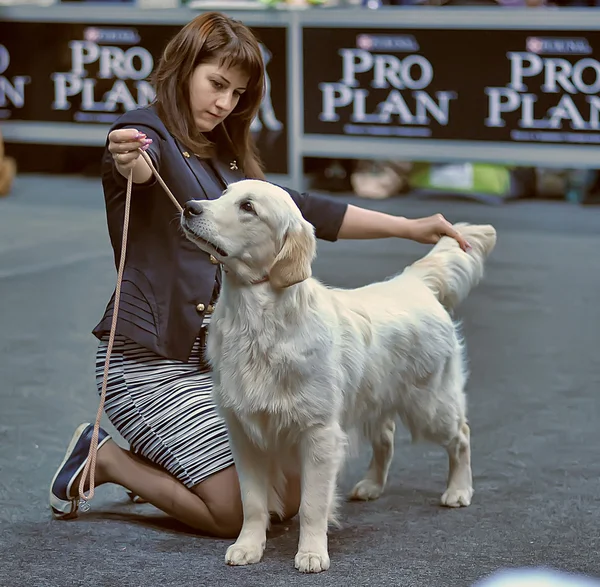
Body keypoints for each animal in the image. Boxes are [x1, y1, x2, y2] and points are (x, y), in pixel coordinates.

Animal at [182, 179, 496, 576]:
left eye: (248, 207)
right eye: (223, 194)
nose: (189, 207)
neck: (257, 319)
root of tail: (415, 282)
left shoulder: (319, 434)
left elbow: (312, 504)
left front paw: (312, 553)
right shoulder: (246, 432)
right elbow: (252, 502)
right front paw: (248, 547)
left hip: (430, 404)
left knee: (461, 435)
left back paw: (458, 490)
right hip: (375, 397)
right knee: (386, 437)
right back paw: (372, 484)